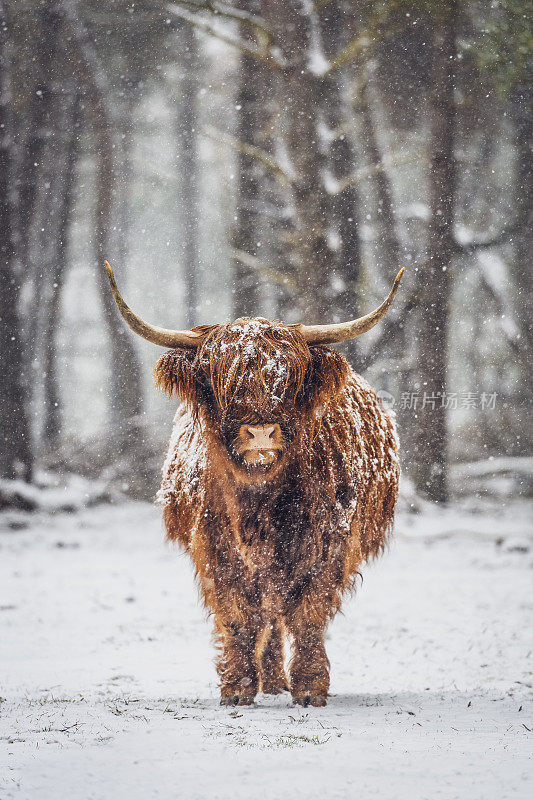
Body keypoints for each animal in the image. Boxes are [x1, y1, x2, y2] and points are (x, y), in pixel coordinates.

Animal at [104, 262, 404, 708]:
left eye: (289, 381)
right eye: (223, 382)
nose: (261, 432)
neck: (258, 502)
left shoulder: (329, 544)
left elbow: (309, 612)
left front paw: (310, 687)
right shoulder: (216, 549)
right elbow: (238, 616)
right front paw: (238, 687)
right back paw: (271, 680)